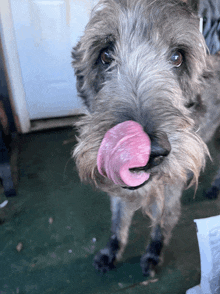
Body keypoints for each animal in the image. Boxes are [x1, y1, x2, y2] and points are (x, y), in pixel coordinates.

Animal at [71, 0, 220, 276]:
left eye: (177, 57)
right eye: (105, 55)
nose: (144, 153)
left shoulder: (170, 190)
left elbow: (163, 221)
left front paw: (153, 253)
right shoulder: (118, 192)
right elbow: (118, 221)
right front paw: (111, 251)